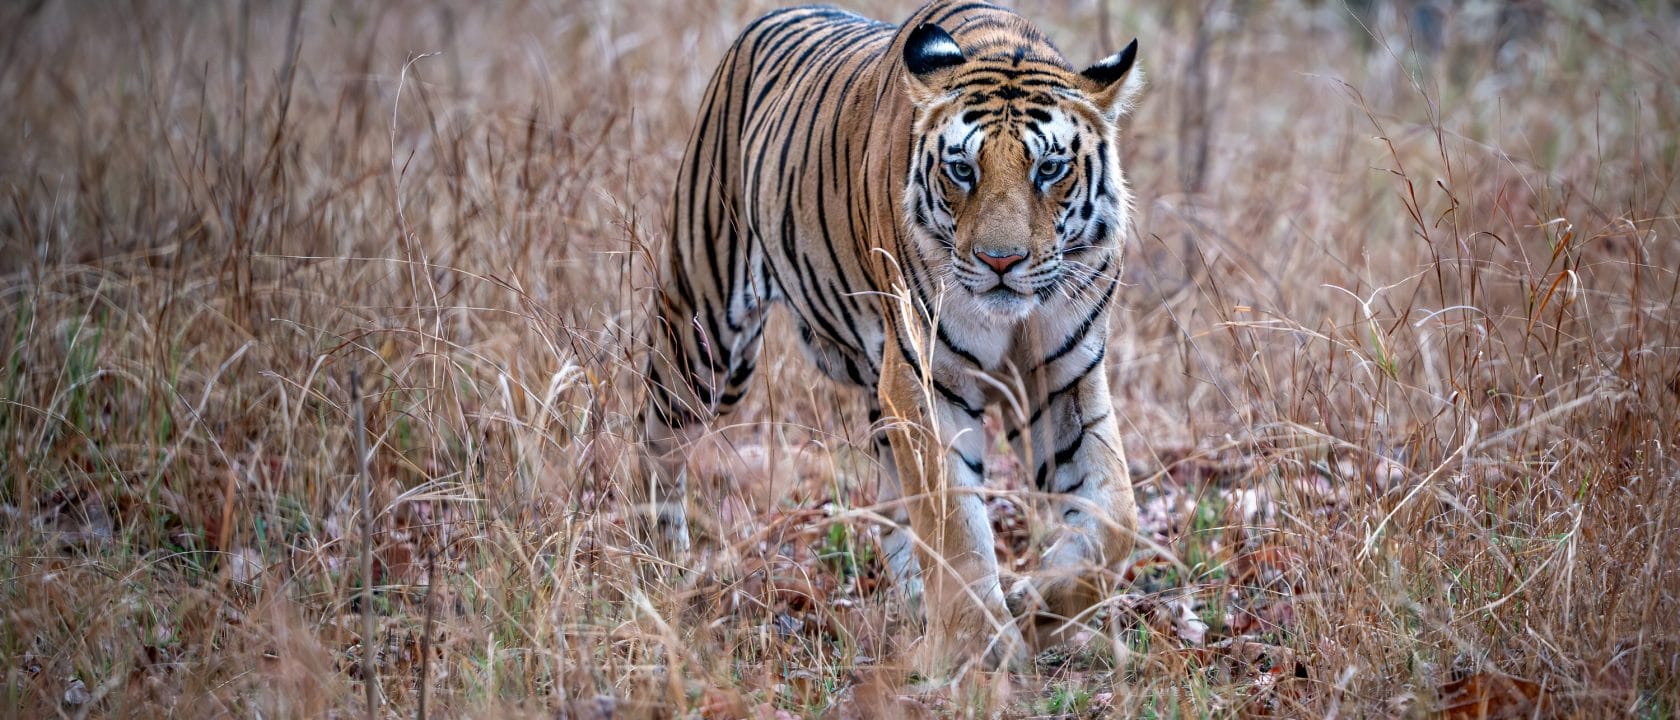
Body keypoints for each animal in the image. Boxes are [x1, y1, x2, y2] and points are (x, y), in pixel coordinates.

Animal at [637, 0, 1145, 672]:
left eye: (1049, 170)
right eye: (962, 169)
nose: (1000, 261)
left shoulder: (1066, 378)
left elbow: (1114, 519)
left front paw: (1035, 605)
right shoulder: (924, 377)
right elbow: (954, 522)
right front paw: (979, 646)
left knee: (888, 508)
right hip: (705, 331)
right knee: (659, 437)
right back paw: (657, 563)